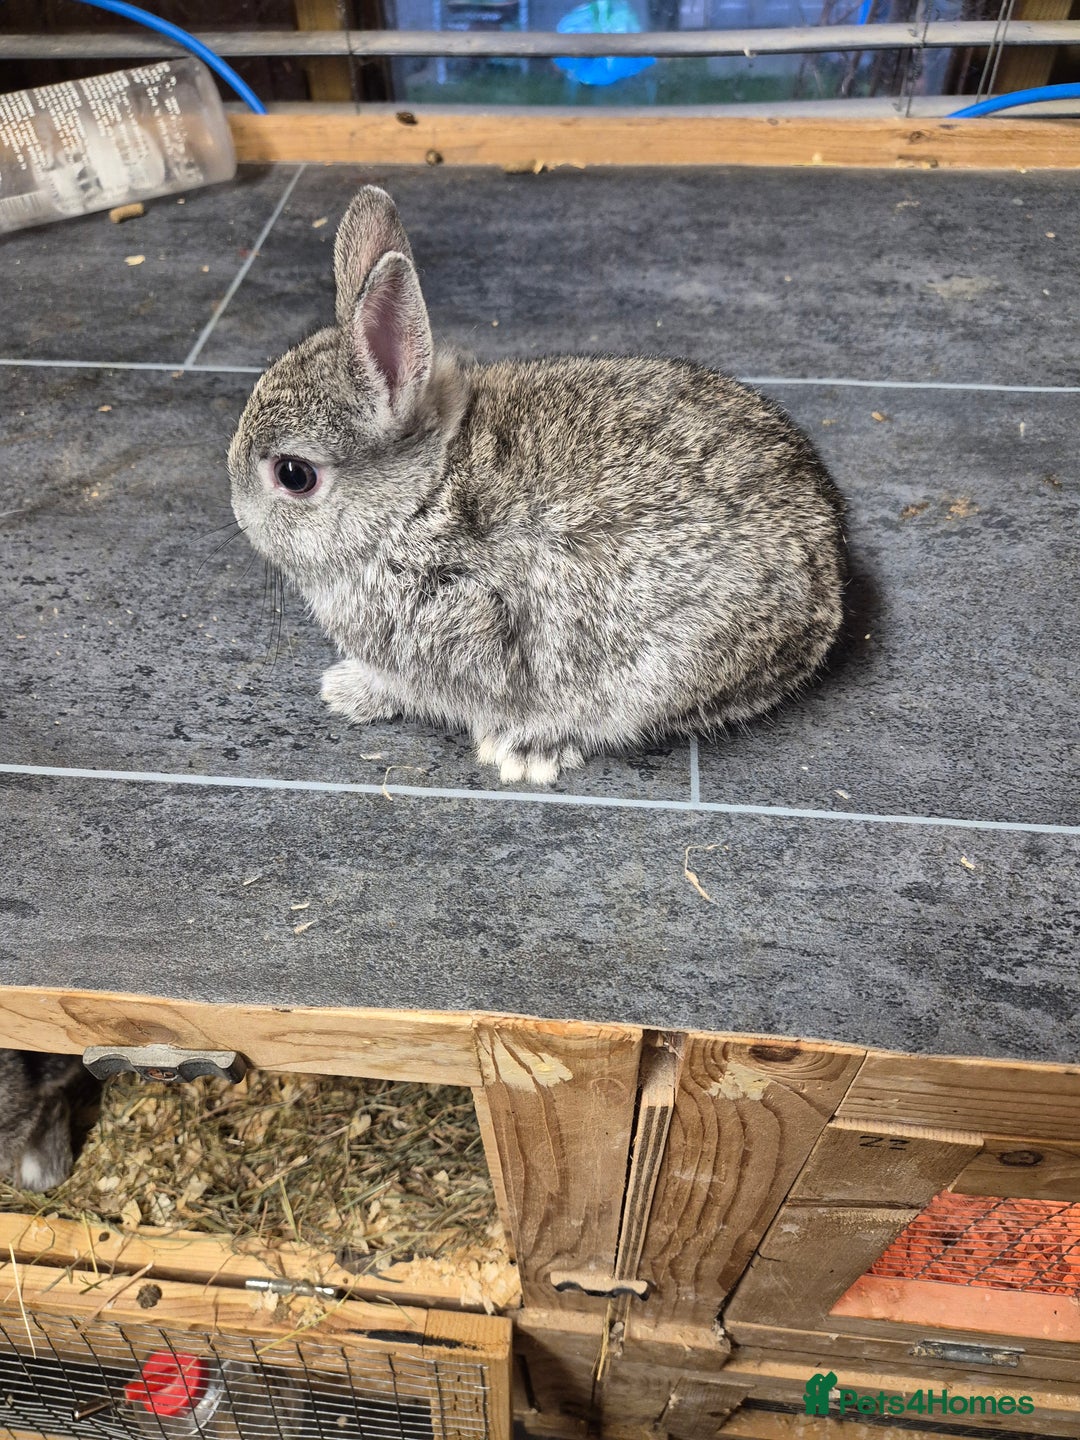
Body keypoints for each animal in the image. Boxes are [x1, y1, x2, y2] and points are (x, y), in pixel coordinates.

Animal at [229, 186, 846, 785]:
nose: (237, 513)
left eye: (293, 475)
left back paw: (529, 750)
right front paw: (346, 689)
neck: (415, 504)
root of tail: (833, 582)